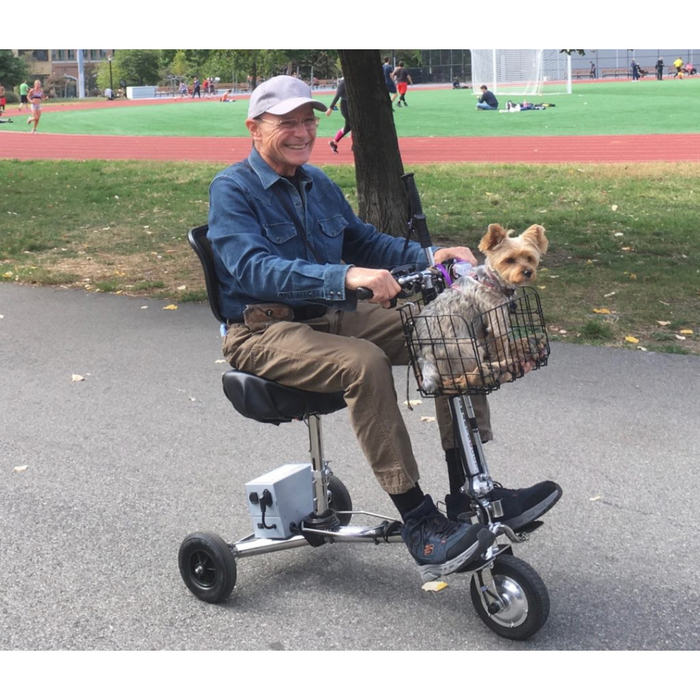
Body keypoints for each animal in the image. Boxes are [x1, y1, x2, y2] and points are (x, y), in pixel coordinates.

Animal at [412, 223, 548, 394]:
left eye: (529, 258)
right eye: (509, 260)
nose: (527, 272)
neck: (491, 281)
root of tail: (425, 352)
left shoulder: (485, 330)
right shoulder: (497, 322)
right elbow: (502, 347)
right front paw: (507, 362)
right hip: (467, 348)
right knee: (458, 376)